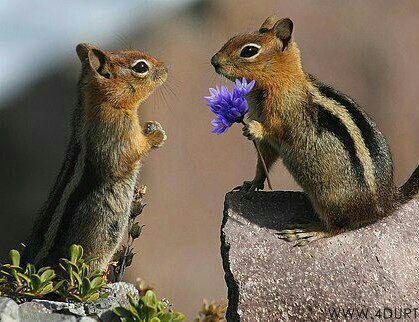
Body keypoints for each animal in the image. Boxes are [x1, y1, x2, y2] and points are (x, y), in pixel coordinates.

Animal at [23, 42, 167, 270]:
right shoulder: (116, 132)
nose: (166, 68)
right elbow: (132, 151)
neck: (105, 101)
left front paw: (152, 126)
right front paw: (156, 135)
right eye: (141, 67)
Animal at [213, 15, 419, 245]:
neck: (283, 82)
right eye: (232, 38)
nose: (214, 61)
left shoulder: (285, 117)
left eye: (249, 51)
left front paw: (253, 128)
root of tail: (387, 202)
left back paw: (309, 231)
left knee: (339, 228)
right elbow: (264, 160)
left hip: (329, 200)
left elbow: (276, 132)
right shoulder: (268, 146)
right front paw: (251, 183)